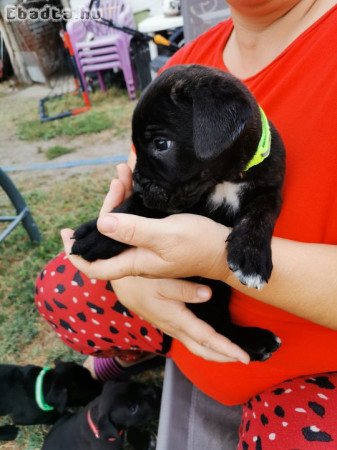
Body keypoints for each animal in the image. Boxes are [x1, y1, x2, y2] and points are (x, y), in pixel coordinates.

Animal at [72, 64, 284, 362]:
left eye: (161, 144)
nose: (137, 182)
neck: (225, 177)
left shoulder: (268, 190)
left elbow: (258, 217)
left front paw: (251, 257)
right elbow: (135, 208)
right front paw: (97, 232)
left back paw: (255, 341)